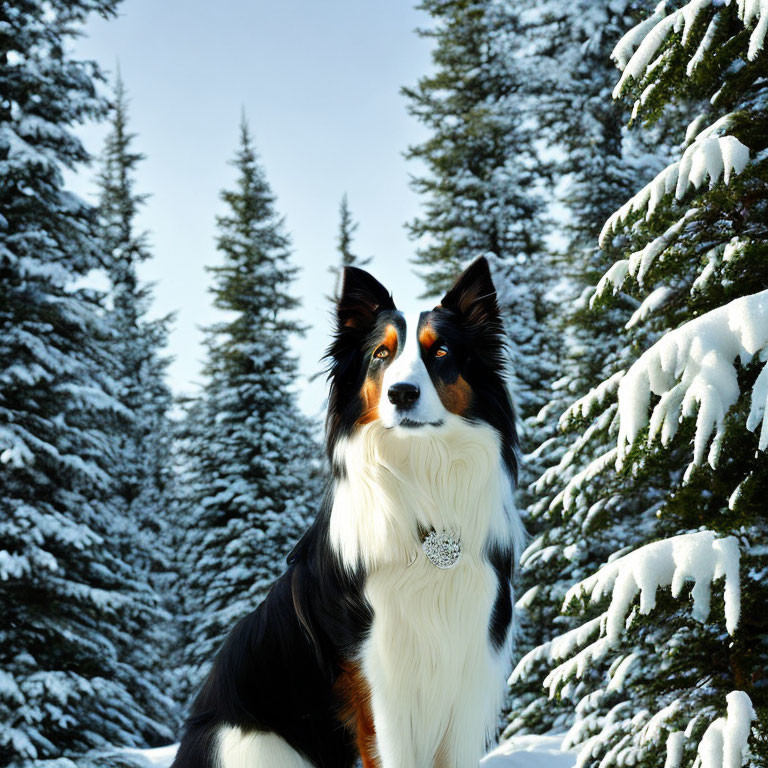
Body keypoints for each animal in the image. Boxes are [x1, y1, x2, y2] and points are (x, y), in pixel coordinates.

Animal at [172, 256, 520, 768]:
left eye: (440, 352)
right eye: (381, 354)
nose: (401, 393)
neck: (424, 484)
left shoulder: (469, 669)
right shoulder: (379, 682)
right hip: (254, 745)